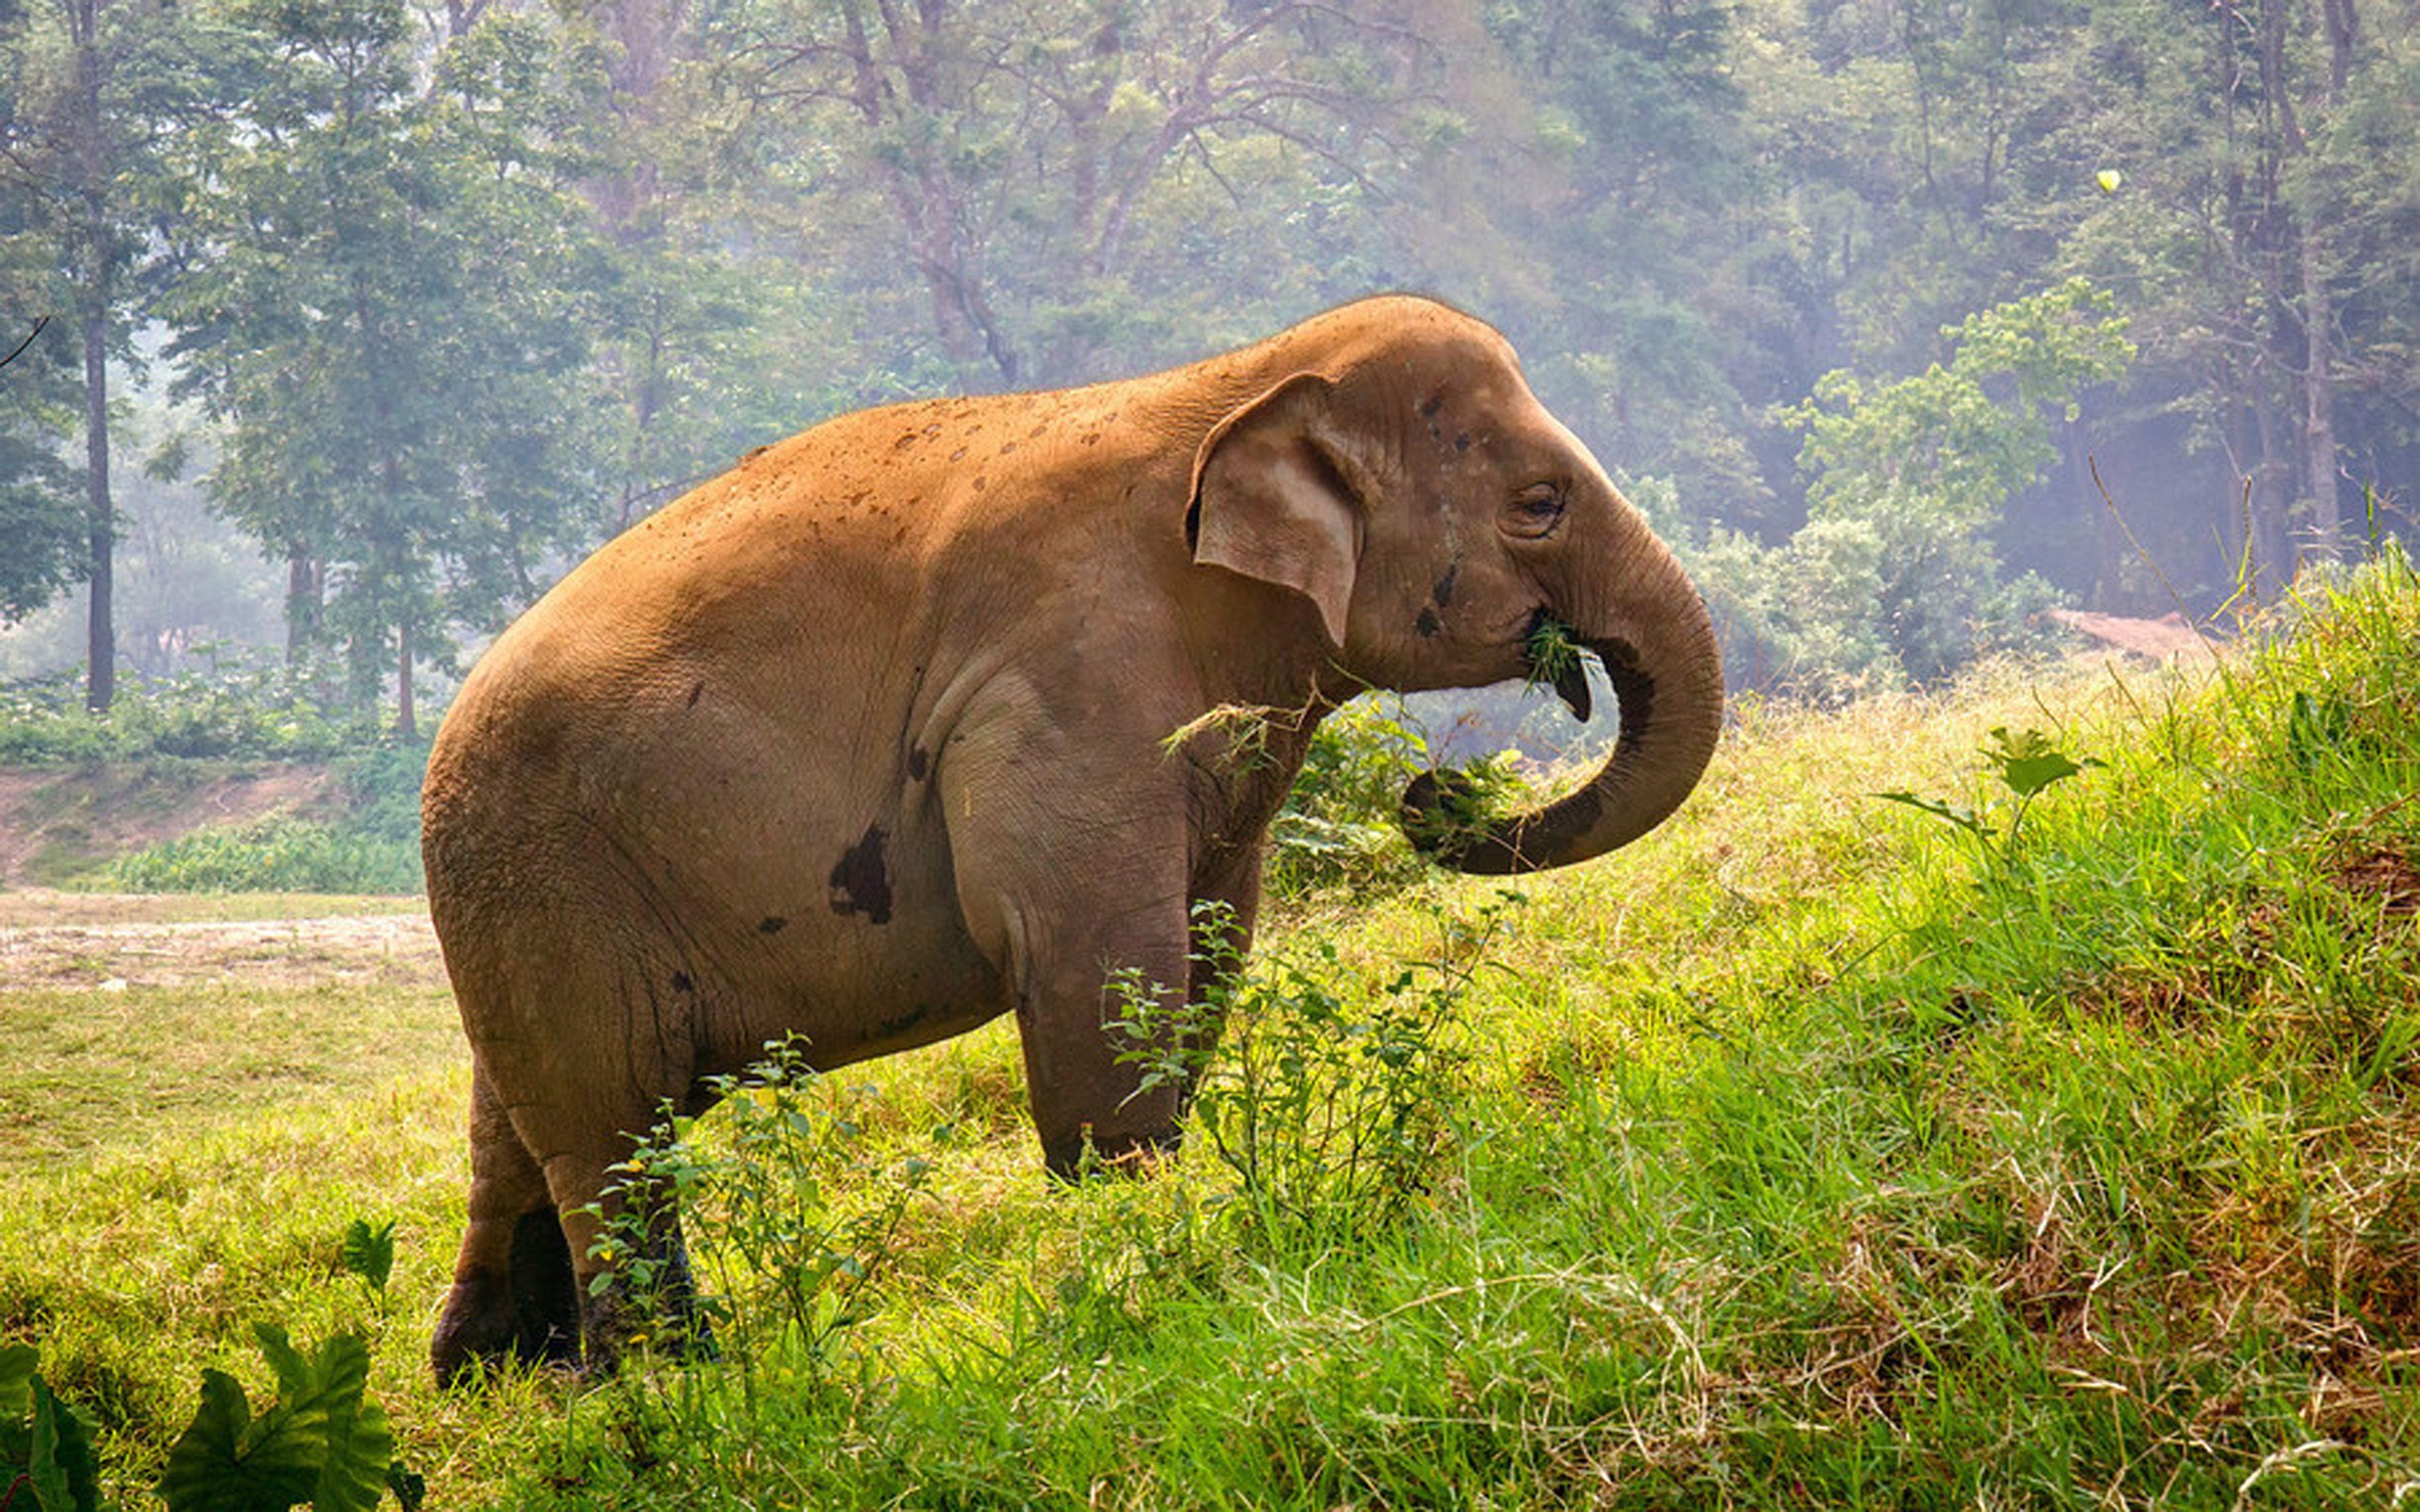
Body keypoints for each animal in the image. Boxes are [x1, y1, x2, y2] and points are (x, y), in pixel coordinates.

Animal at [421, 294, 1724, 1381]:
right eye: (1539, 506)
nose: (1432, 797)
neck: (1234, 379)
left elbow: (1212, 941)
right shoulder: (1062, 684)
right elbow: (1096, 955)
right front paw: (1138, 1254)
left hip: (523, 909)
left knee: (521, 1133)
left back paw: (505, 1378)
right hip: (546, 883)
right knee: (612, 1133)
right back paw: (669, 1377)